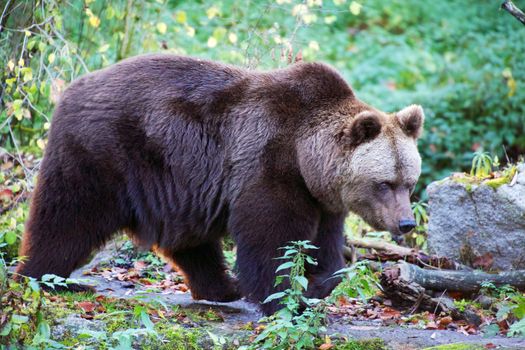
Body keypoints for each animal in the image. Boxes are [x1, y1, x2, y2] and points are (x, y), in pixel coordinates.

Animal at [17, 54, 422, 314]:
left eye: (410, 182)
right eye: (385, 183)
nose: (406, 223)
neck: (307, 158)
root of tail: (70, 88)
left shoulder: (322, 198)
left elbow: (324, 246)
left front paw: (318, 283)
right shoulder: (269, 165)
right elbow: (272, 238)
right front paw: (285, 297)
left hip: (176, 184)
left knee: (189, 240)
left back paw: (223, 288)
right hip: (106, 153)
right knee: (68, 217)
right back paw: (48, 278)